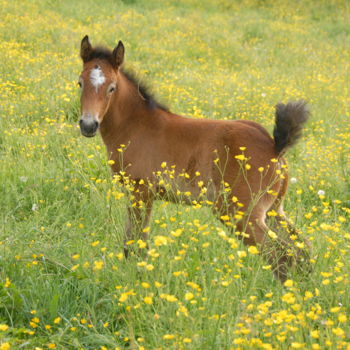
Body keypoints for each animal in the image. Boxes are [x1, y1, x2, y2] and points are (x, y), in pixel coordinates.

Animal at [78, 36, 310, 282]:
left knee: (280, 255)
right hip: (274, 209)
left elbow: (136, 243)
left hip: (241, 214)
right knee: (302, 249)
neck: (136, 125)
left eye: (111, 88)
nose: (88, 125)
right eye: (80, 83)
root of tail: (275, 147)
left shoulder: (140, 192)